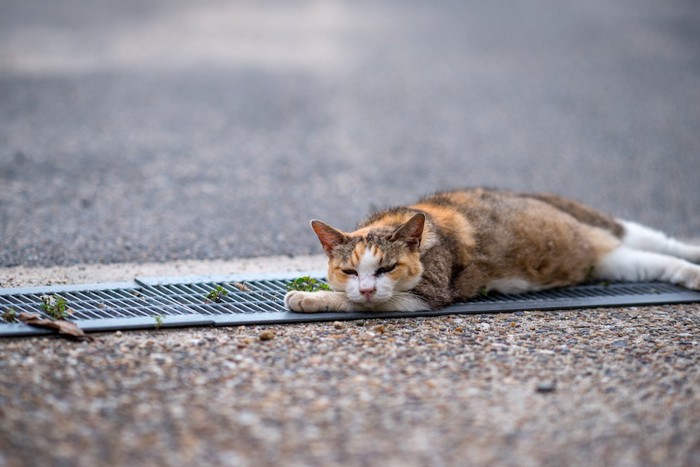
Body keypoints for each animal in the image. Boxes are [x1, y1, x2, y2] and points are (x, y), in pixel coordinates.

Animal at [284, 188, 700, 312]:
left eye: (387, 269)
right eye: (350, 271)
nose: (368, 286)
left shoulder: (430, 294)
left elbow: (364, 303)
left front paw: (308, 298)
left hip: (609, 228)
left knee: (664, 242)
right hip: (615, 262)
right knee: (656, 262)